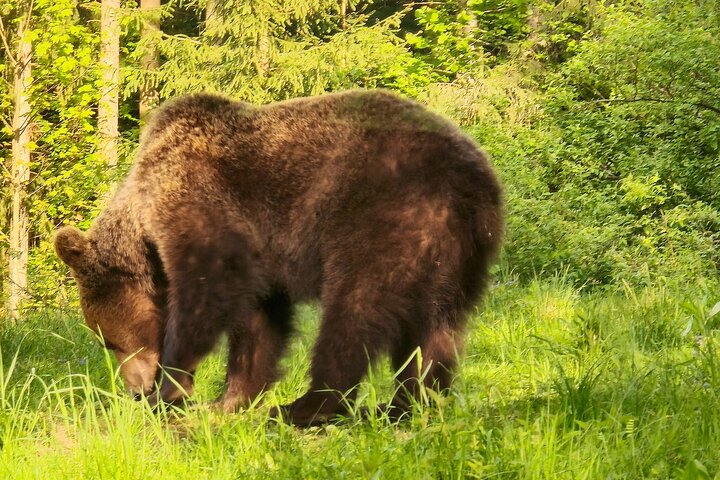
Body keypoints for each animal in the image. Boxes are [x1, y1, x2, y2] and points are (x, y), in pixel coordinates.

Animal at [54, 89, 504, 426]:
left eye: (110, 340)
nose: (134, 389)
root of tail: (469, 178)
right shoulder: (260, 254)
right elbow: (259, 323)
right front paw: (228, 400)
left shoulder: (197, 199)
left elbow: (209, 290)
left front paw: (170, 388)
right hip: (458, 253)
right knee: (437, 326)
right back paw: (409, 402)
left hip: (381, 218)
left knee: (354, 311)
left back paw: (306, 407)